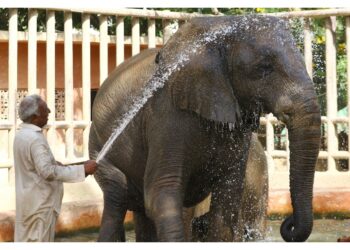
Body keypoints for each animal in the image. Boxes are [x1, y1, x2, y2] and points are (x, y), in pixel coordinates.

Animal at [89, 14, 320, 241]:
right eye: (264, 68)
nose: (288, 223)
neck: (220, 26)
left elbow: (227, 199)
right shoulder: (166, 116)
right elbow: (162, 194)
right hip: (99, 148)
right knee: (117, 197)